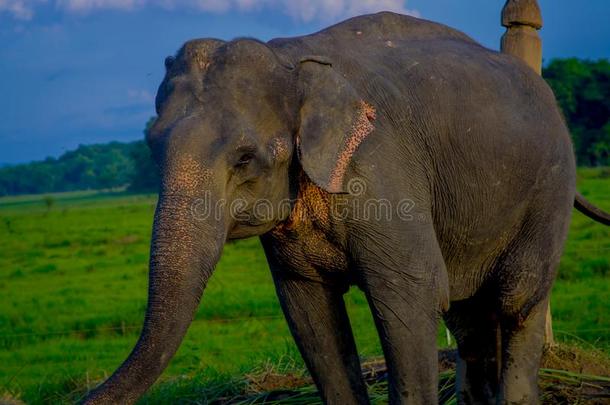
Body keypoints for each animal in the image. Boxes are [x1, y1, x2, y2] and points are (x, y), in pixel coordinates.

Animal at [82, 11, 608, 402]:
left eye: (245, 158)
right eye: (152, 148)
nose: (84, 396)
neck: (291, 62)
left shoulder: (380, 168)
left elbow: (413, 294)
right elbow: (310, 313)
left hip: (550, 190)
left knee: (516, 299)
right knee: (466, 314)